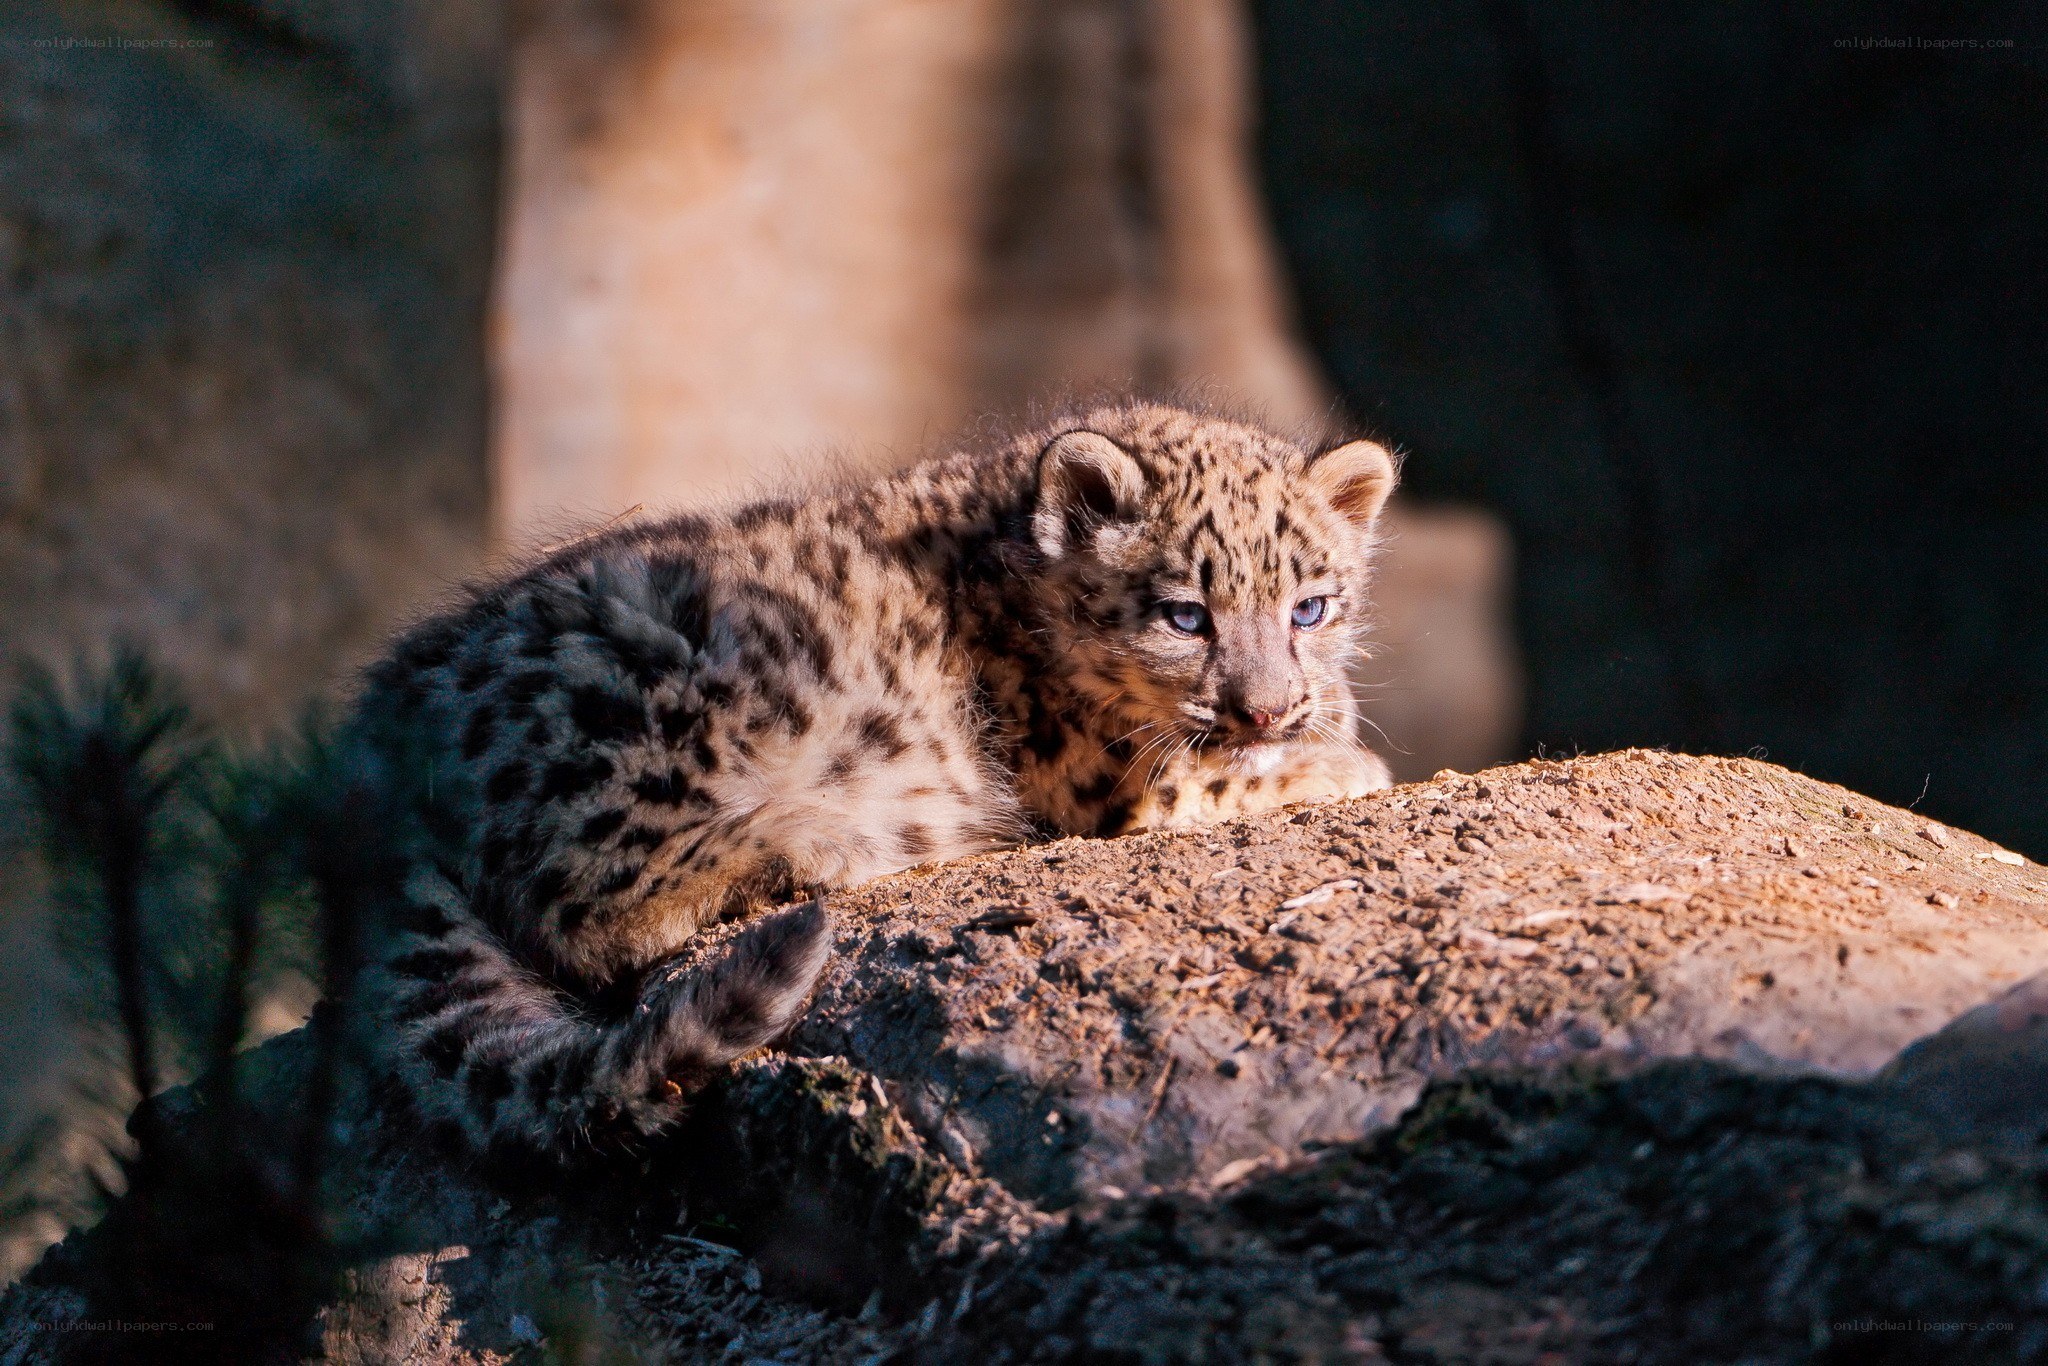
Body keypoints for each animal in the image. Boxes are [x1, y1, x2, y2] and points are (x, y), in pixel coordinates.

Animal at [351, 400, 1398, 1168]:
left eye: (1310, 608)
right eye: (1185, 616)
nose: (1268, 708)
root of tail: (373, 758)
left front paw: (1329, 719)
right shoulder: (1097, 774)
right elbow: (1204, 775)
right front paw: (1343, 760)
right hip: (635, 728)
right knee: (587, 908)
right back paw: (829, 840)